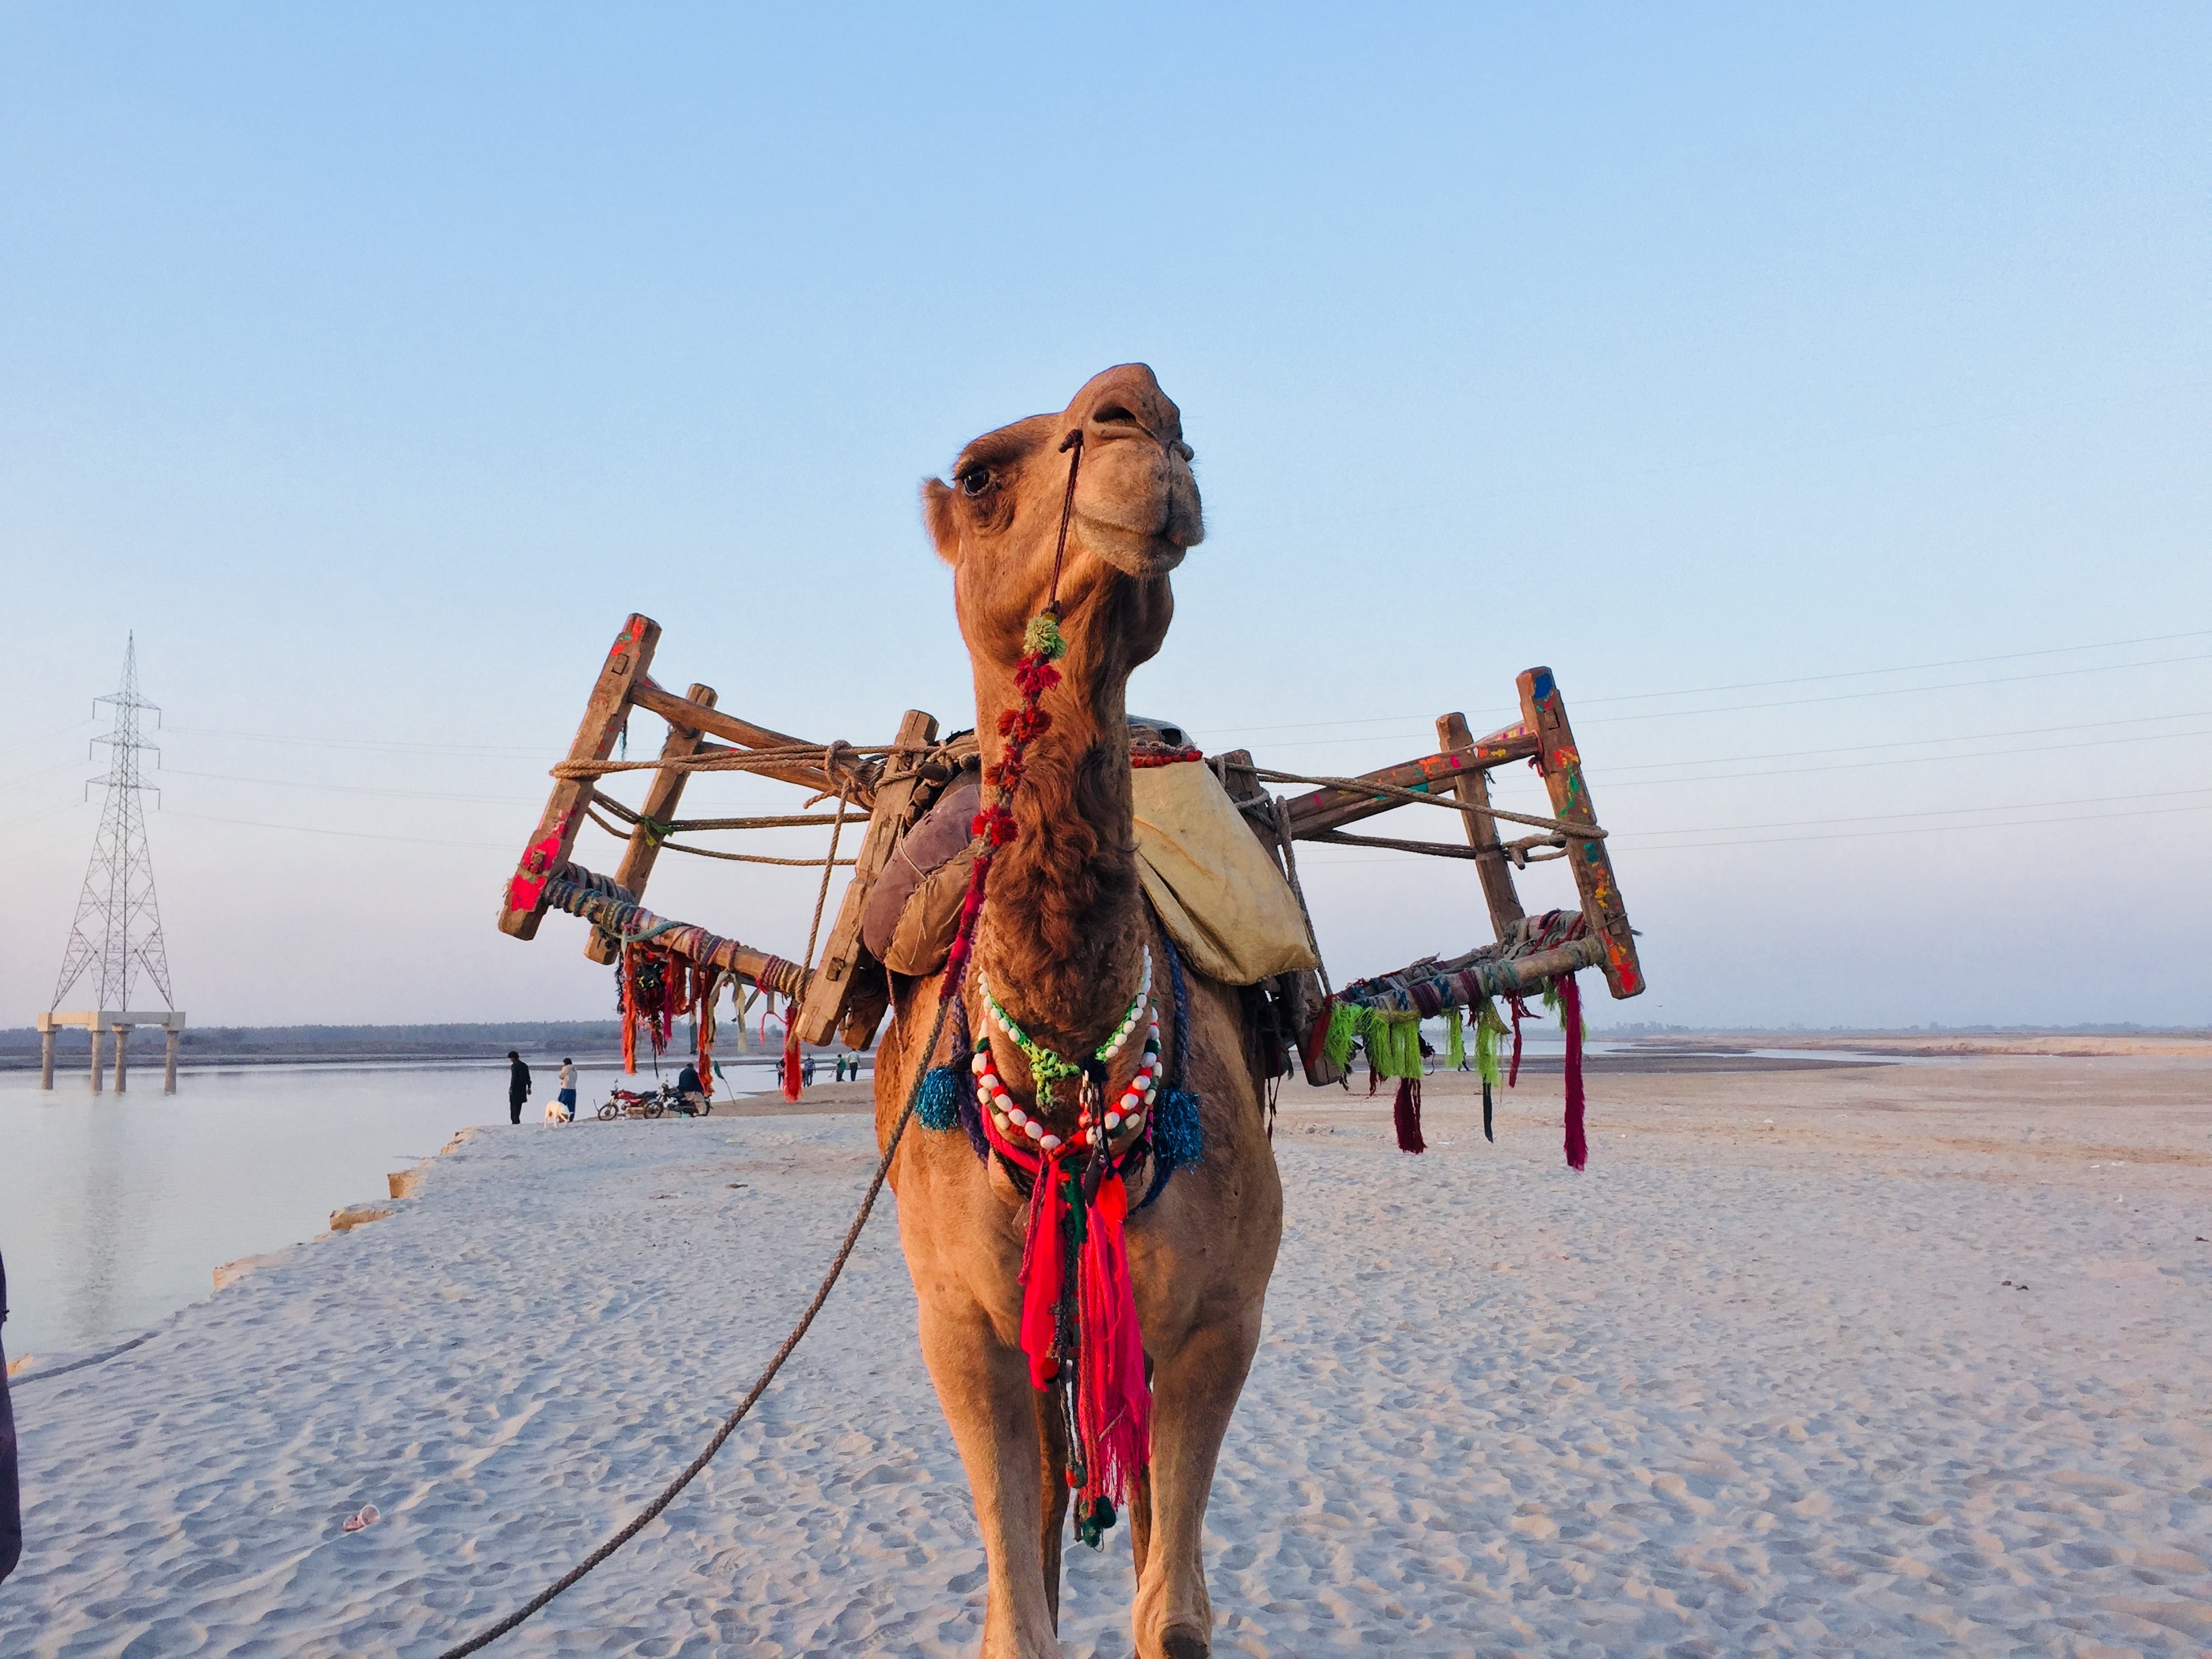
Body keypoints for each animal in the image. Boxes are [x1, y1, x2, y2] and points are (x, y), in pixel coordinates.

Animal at [875, 364, 1283, 1659]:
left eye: (1182, 429)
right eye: (977, 477)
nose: (1136, 415)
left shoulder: (1219, 1321)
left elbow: (1176, 1614)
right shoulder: (960, 1328)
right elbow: (1016, 1620)